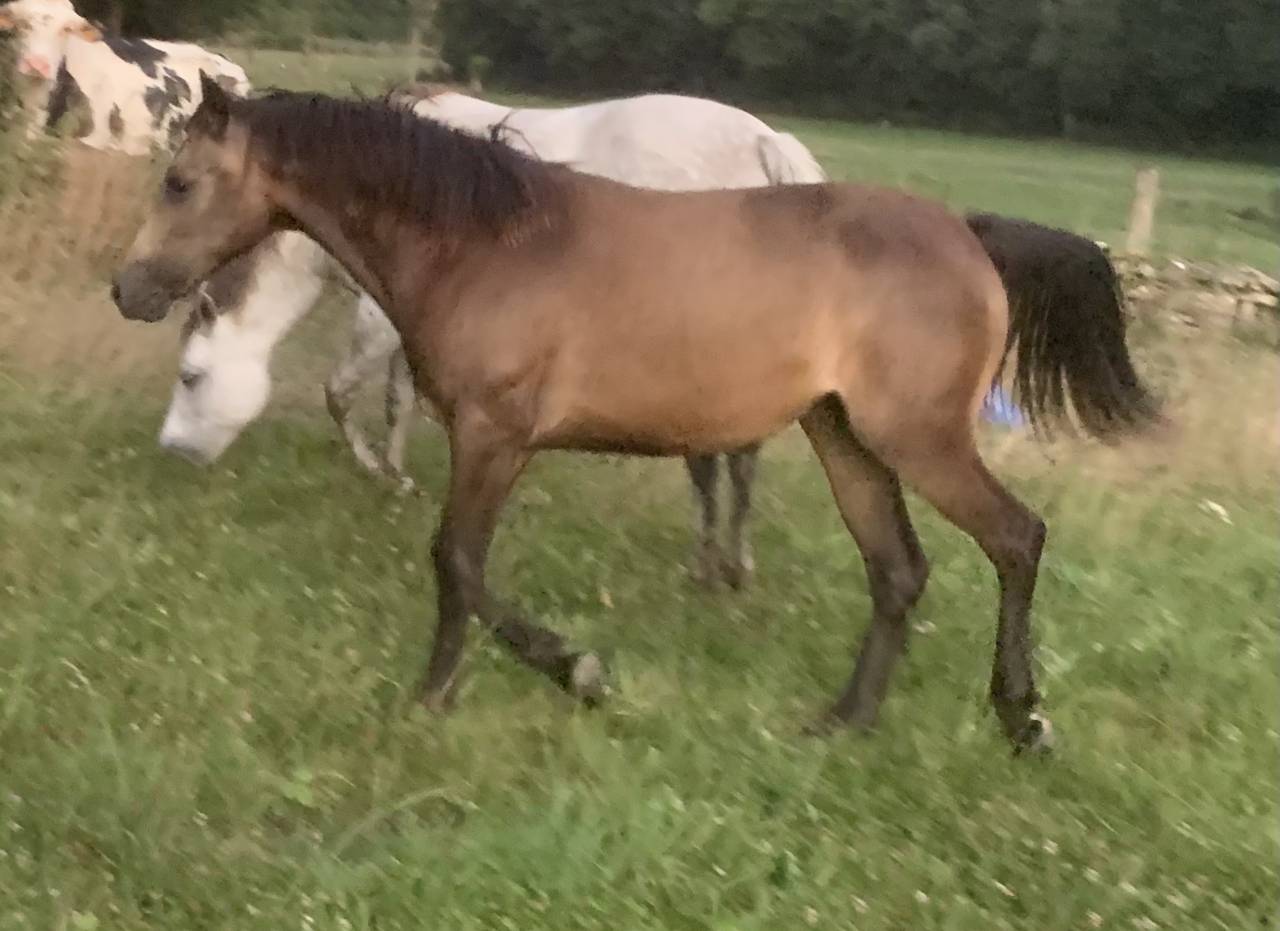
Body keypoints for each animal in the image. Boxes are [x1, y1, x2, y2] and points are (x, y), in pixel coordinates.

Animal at [155, 85, 830, 590]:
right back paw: (730, 563)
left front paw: (378, 472)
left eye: (191, 376)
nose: (172, 454)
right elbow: (399, 398)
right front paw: (398, 475)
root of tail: (767, 142)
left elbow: (341, 393)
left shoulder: (378, 316)